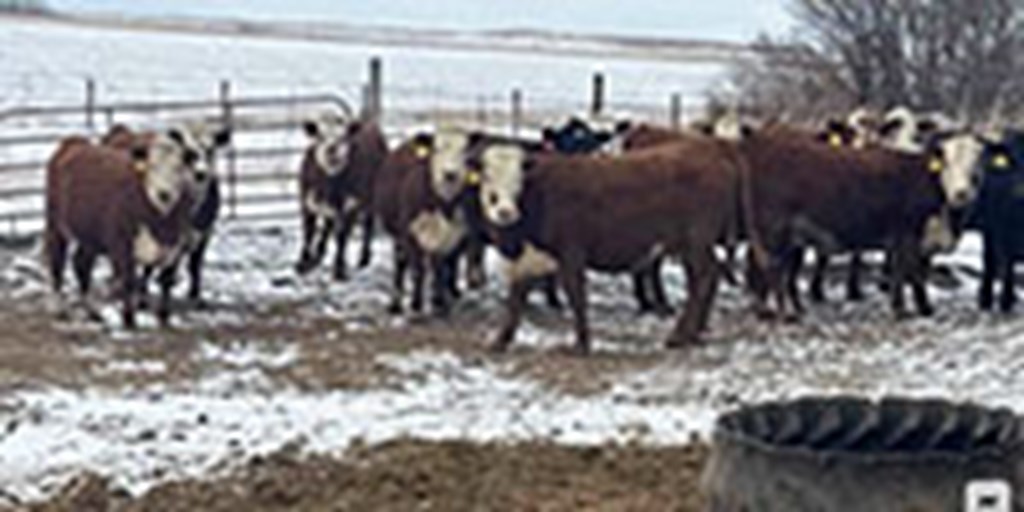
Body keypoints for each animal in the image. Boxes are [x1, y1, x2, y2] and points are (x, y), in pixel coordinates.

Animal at [45, 129, 197, 327]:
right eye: (152, 167)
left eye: (178, 168)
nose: (164, 194)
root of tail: (73, 142)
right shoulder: (121, 245)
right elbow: (128, 281)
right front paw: (128, 319)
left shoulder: (176, 246)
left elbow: (166, 281)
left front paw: (164, 317)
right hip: (55, 225)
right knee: (57, 263)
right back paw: (59, 308)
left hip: (91, 236)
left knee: (82, 264)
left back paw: (92, 311)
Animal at [100, 120, 231, 303]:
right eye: (188, 153)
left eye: (210, 150)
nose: (201, 173)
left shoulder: (204, 233)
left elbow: (194, 265)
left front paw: (194, 294)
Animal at [299, 116, 391, 280]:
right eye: (320, 136)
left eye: (343, 137)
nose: (332, 149)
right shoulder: (307, 202)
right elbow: (308, 232)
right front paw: (303, 264)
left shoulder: (351, 206)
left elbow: (342, 237)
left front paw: (339, 269)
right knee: (328, 225)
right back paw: (318, 256)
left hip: (371, 199)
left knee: (368, 224)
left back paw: (364, 258)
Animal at [471, 136, 745, 354]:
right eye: (486, 176)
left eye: (519, 179)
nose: (504, 212)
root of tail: (714, 155)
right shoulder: (527, 260)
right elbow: (515, 301)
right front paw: (500, 341)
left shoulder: (571, 252)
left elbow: (576, 295)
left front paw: (581, 344)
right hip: (691, 246)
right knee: (708, 277)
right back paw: (694, 334)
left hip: (696, 240)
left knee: (704, 278)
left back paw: (679, 336)